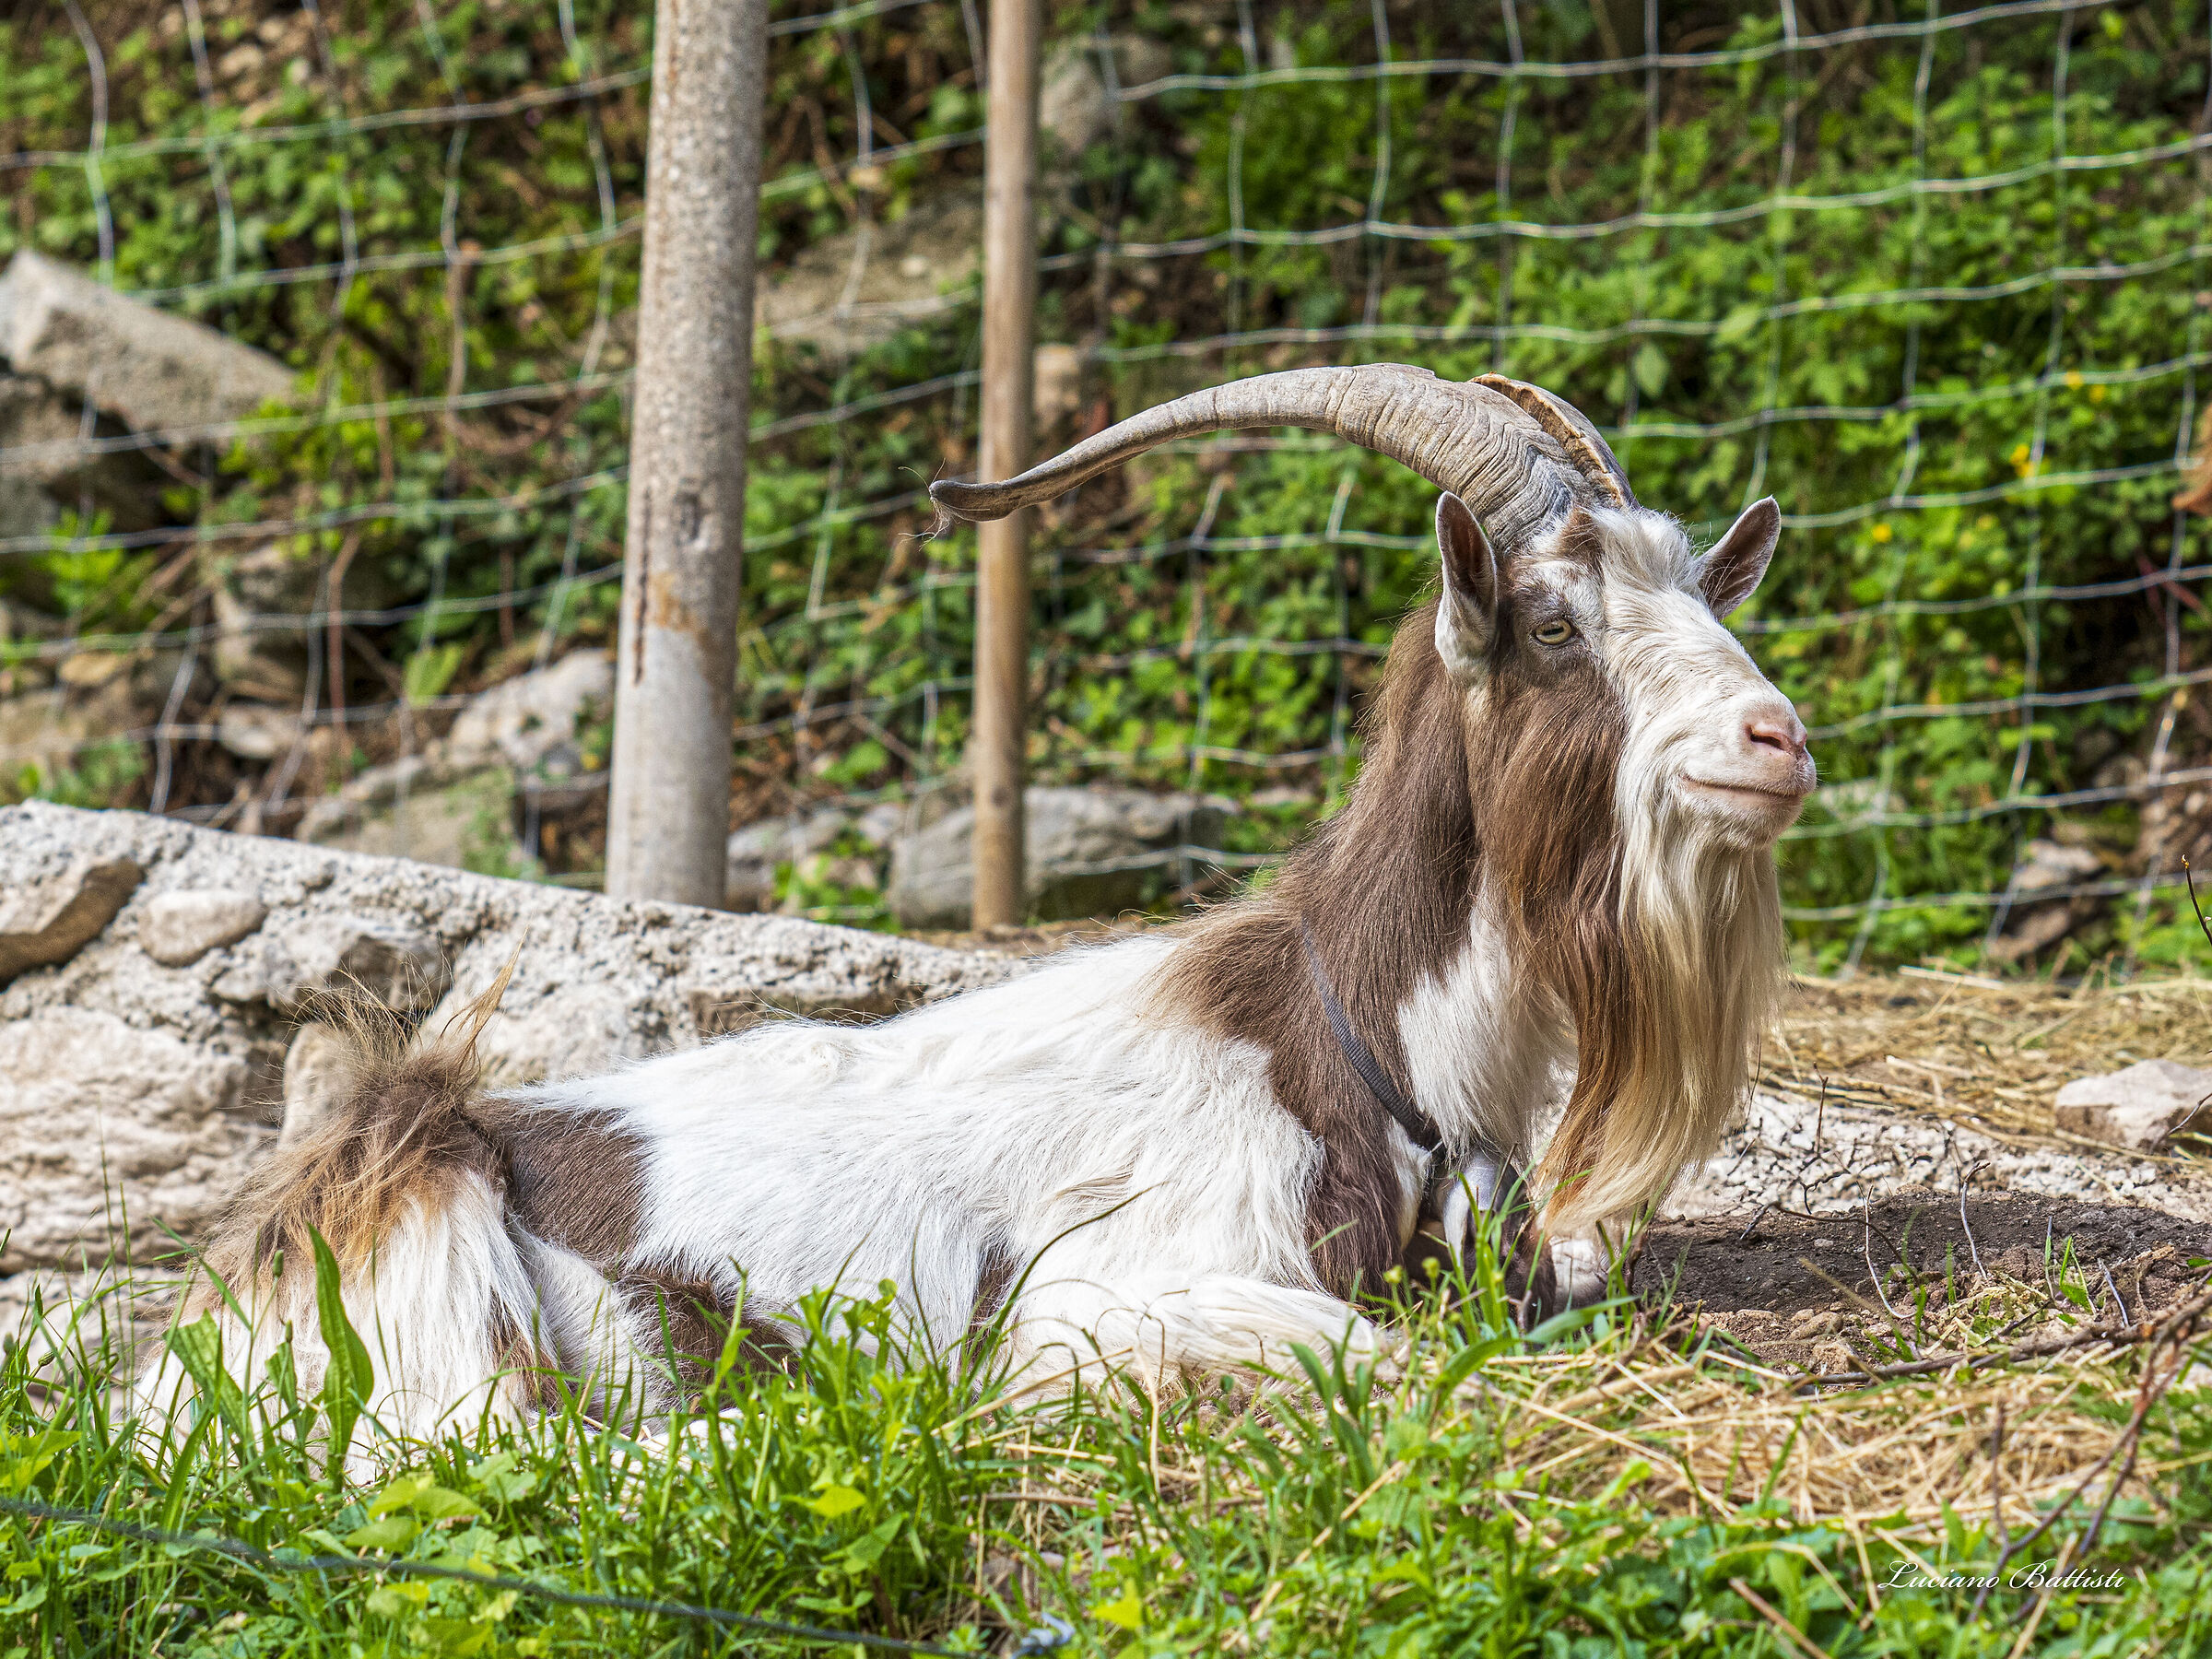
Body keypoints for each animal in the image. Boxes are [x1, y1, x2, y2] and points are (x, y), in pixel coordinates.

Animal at [138, 366, 1813, 1462]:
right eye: (1554, 621)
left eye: (1706, 596)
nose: (1776, 740)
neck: (1358, 1055)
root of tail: (171, 1368)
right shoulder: (1096, 1297)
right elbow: (1363, 1354)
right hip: (429, 1250)